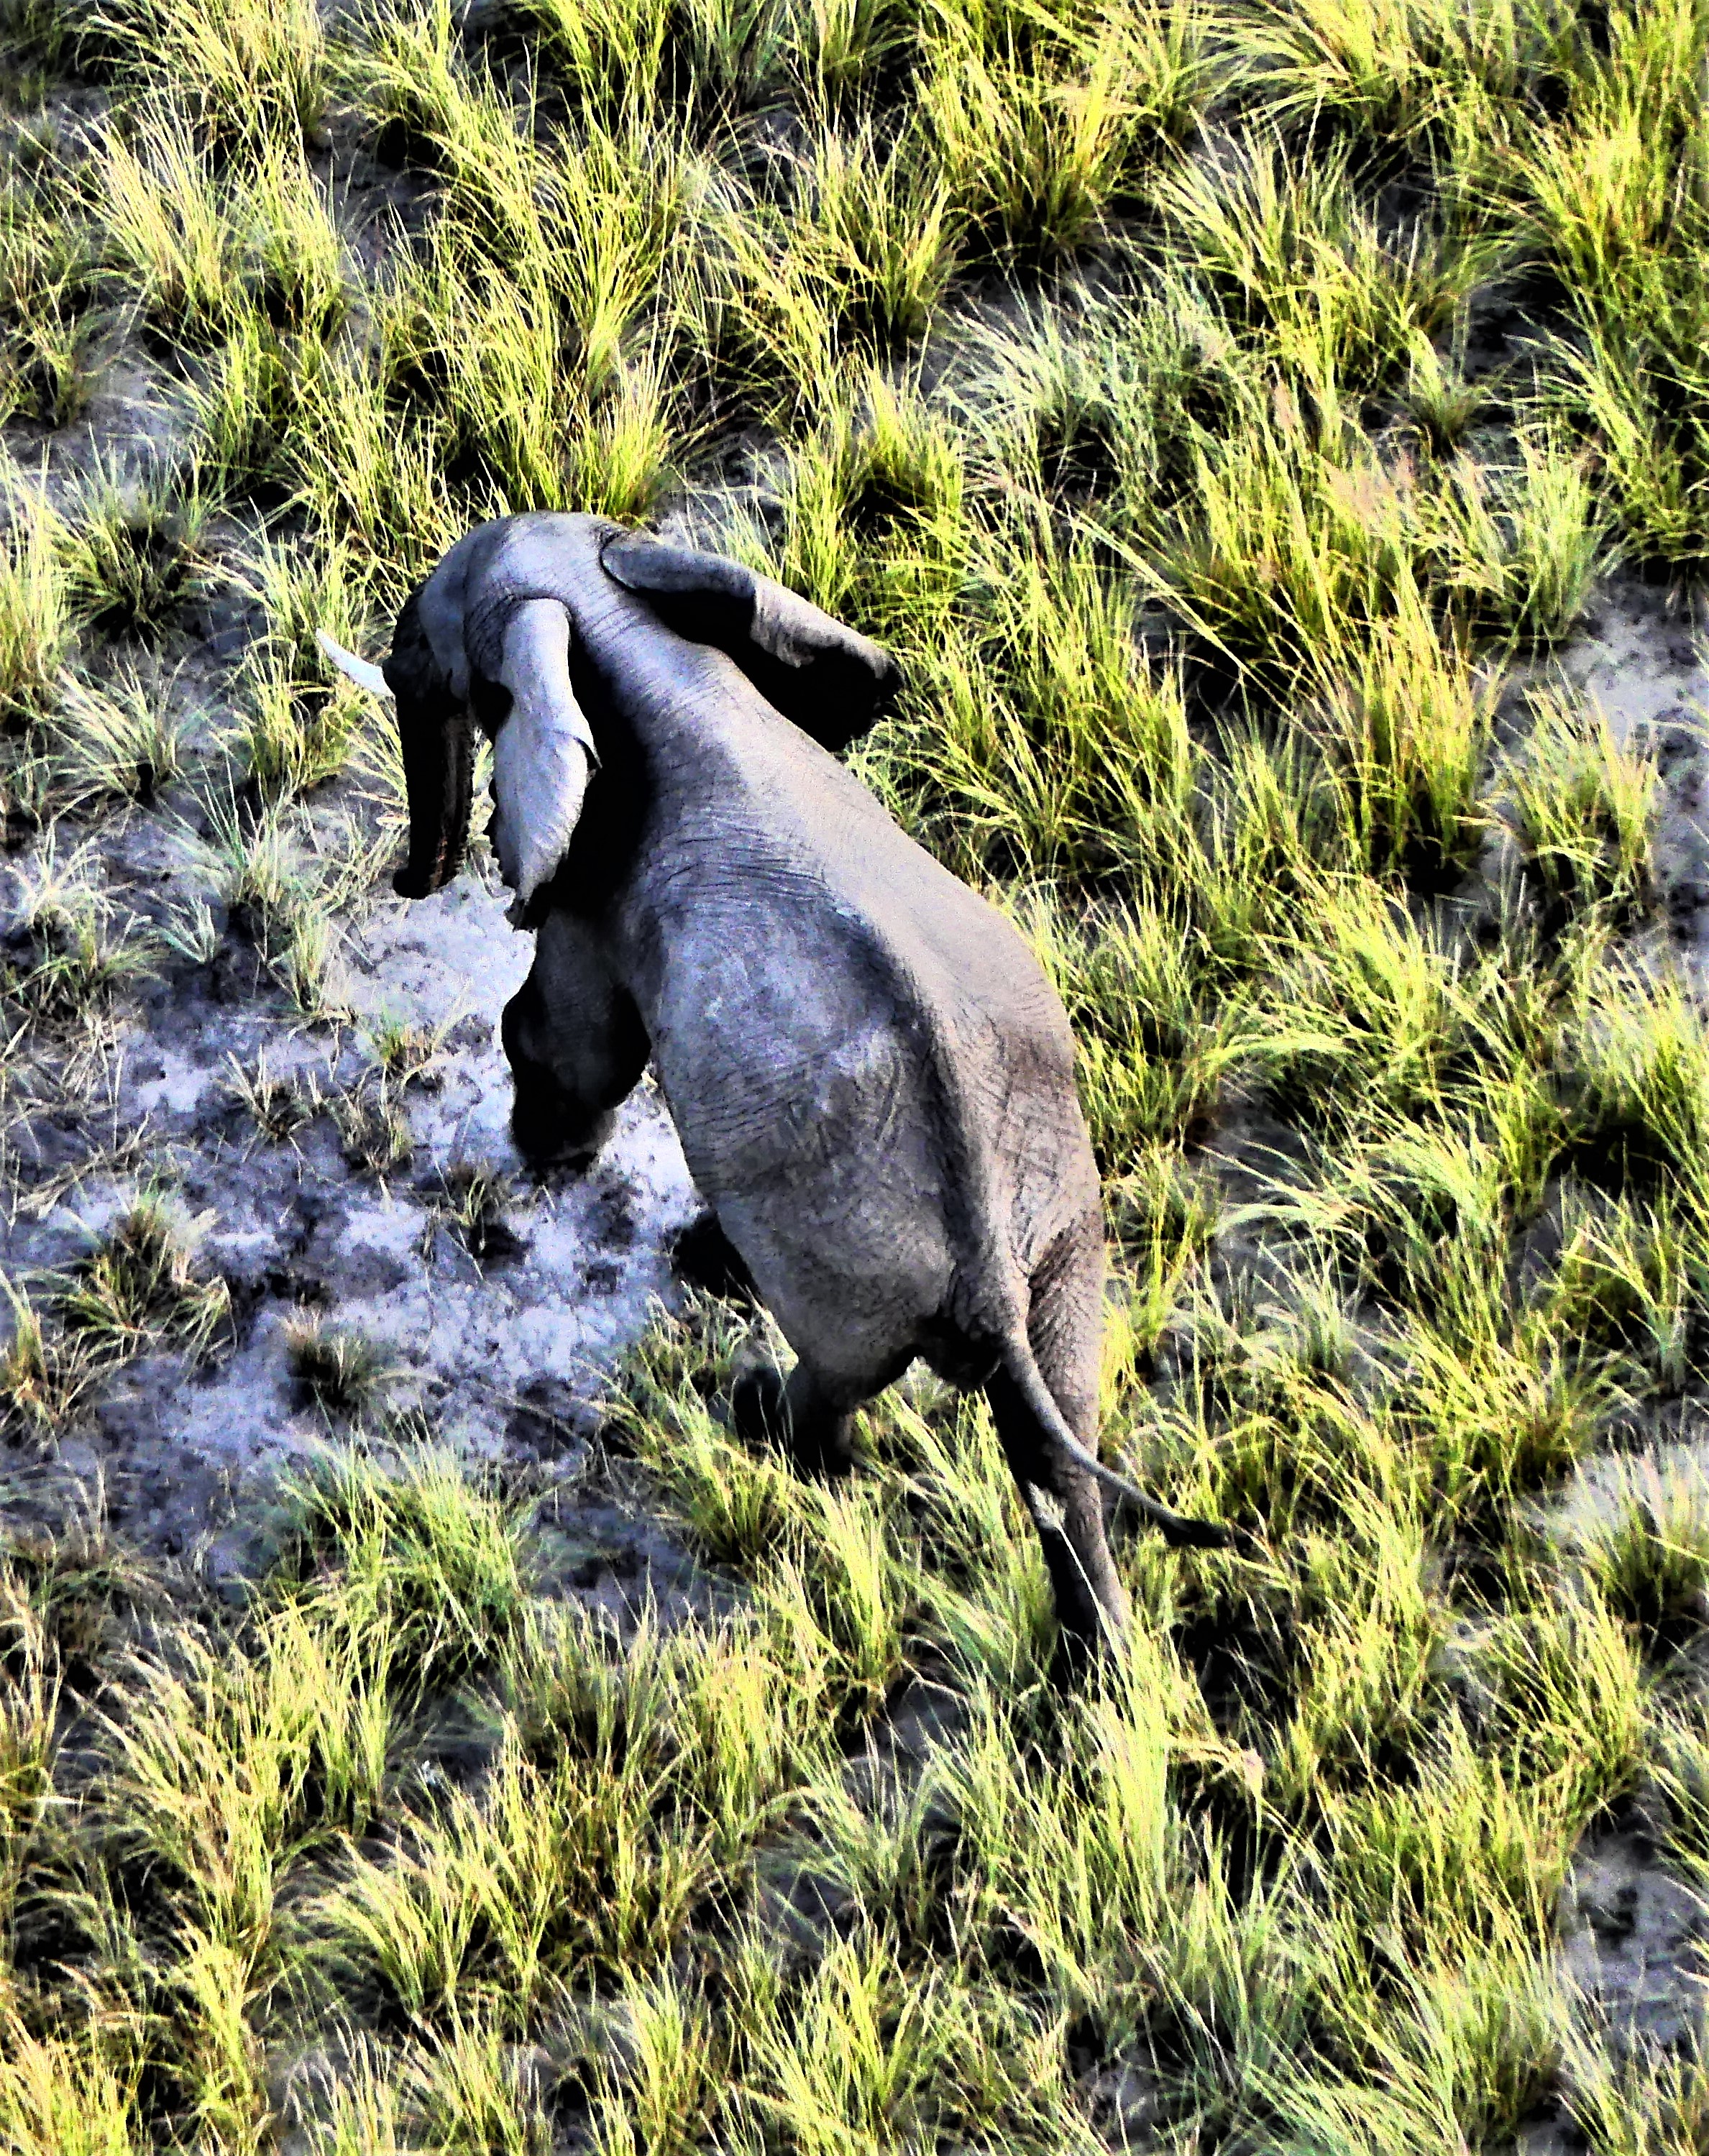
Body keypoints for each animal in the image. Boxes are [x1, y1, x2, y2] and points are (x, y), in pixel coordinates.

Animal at [320, 511, 1226, 1671]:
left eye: (446, 645)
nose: (409, 879)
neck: (622, 625)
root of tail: (988, 1270)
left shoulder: (597, 884)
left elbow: (568, 1040)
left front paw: (542, 1157)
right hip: (1066, 1228)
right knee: (1062, 1434)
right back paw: (1099, 1673)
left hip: (854, 1271)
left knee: (835, 1392)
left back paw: (752, 1411)